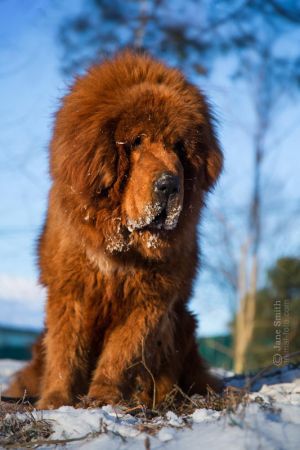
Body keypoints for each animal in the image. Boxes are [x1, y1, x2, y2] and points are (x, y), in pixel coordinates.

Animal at [5, 51, 224, 410]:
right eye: (136, 142)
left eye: (178, 147)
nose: (169, 185)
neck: (122, 244)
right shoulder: (71, 290)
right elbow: (66, 350)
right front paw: (56, 400)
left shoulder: (150, 299)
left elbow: (123, 351)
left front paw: (104, 397)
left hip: (183, 323)